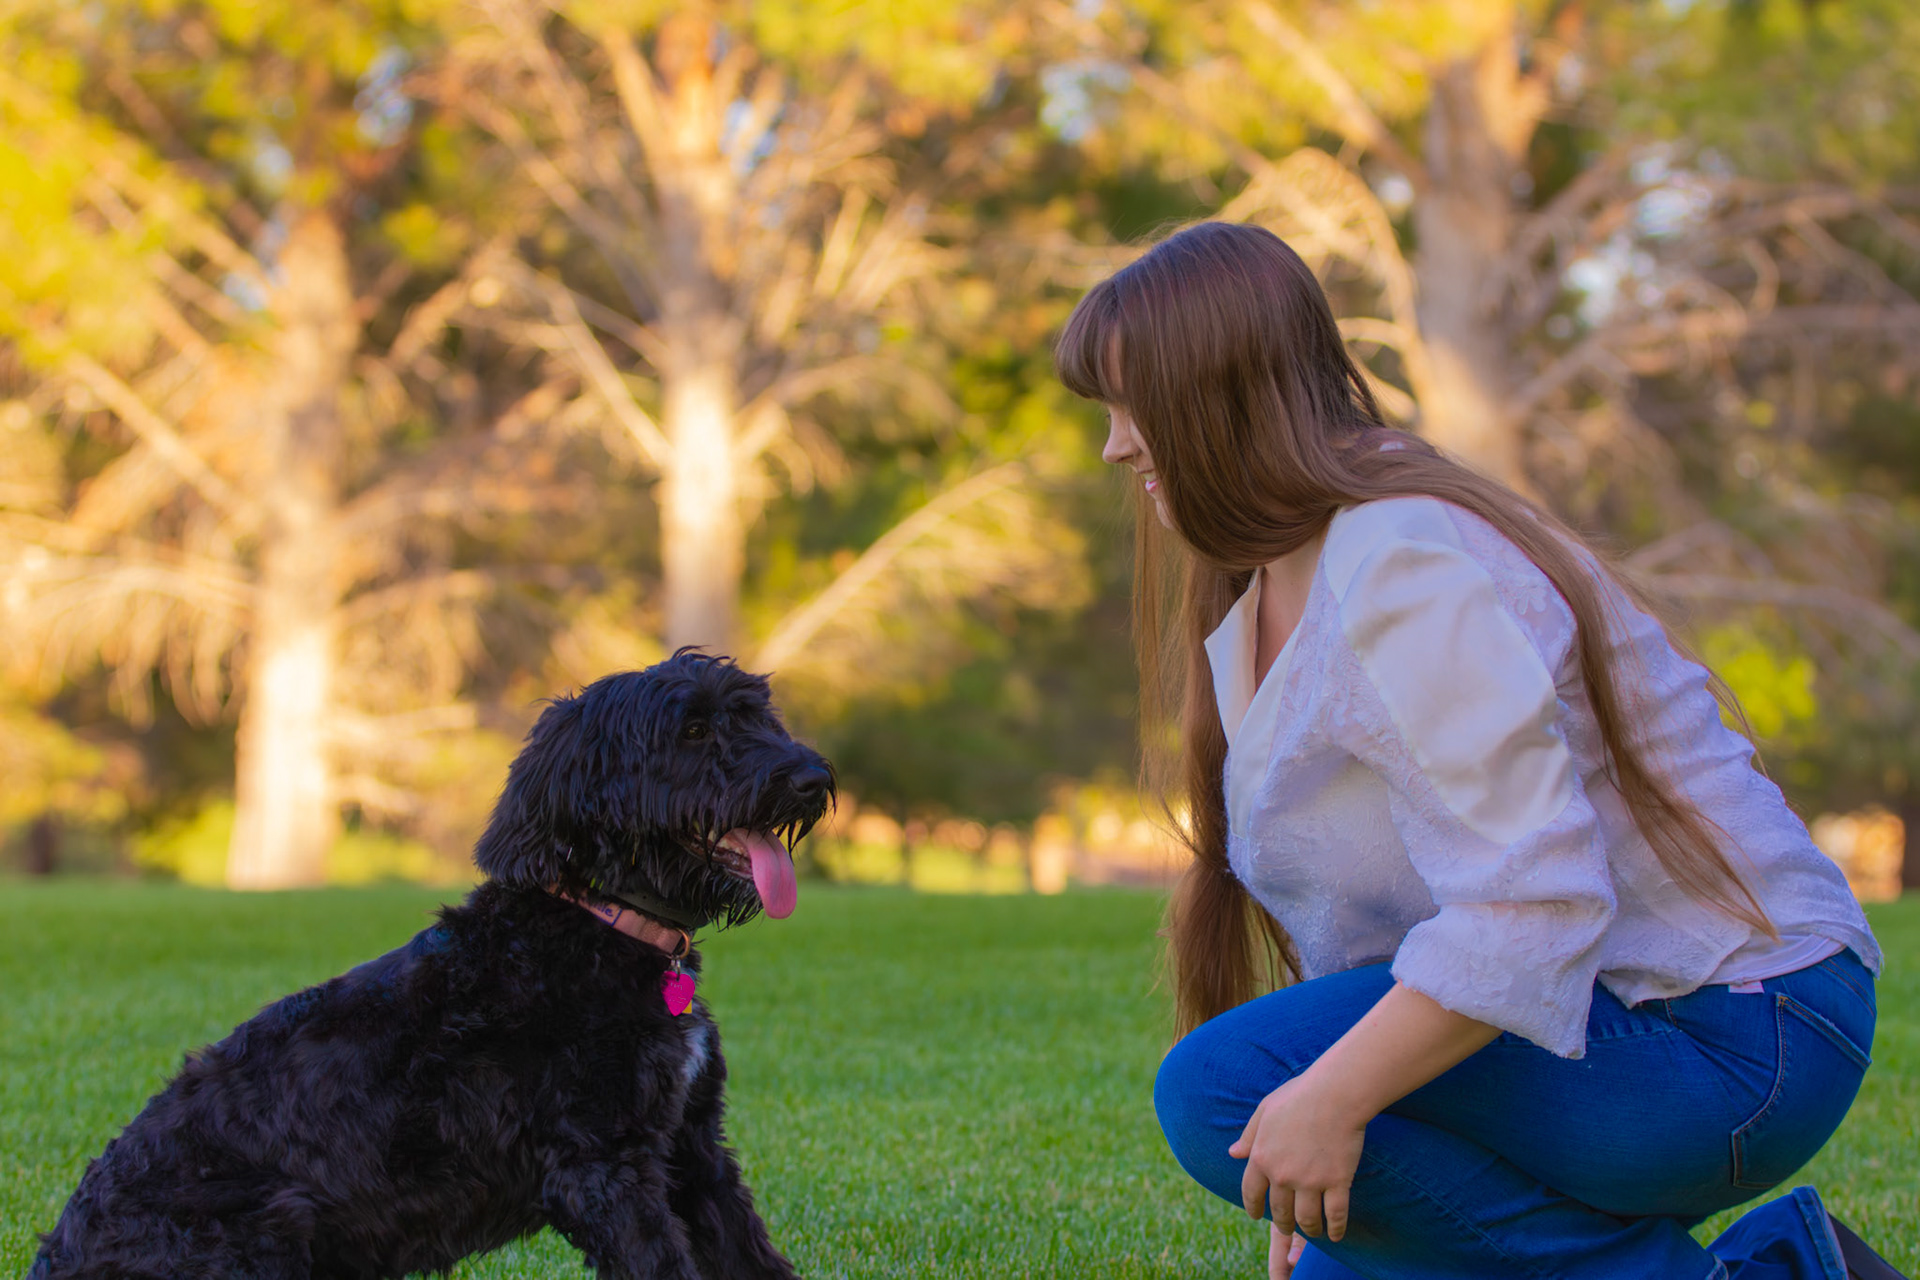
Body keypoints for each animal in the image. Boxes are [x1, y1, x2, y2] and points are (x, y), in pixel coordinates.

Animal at [30, 652, 833, 1280]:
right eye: (692, 730)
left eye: (756, 715)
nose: (811, 776)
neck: (600, 925)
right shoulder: (605, 1166)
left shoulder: (692, 1150)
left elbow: (752, 1258)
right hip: (273, 1219)